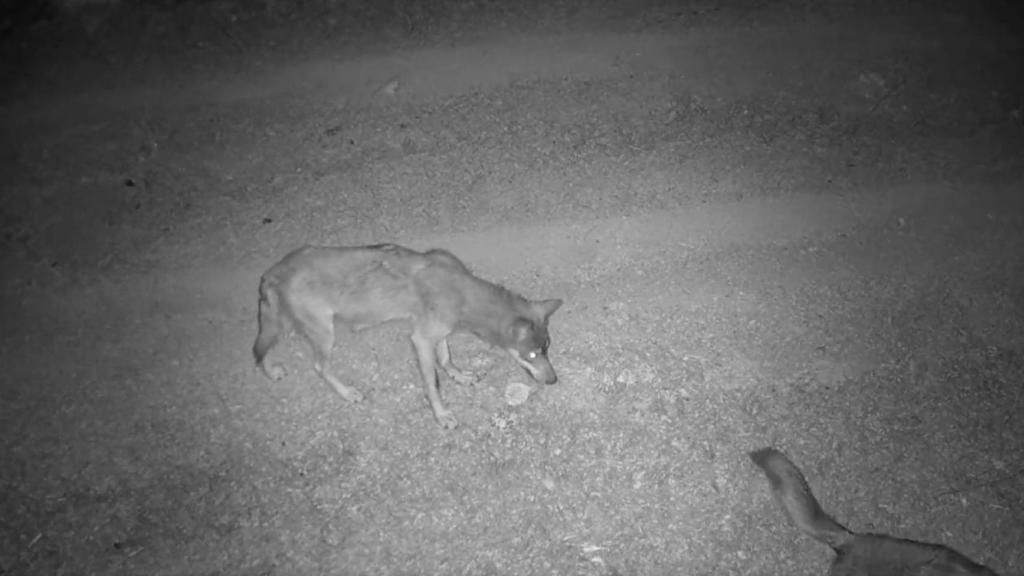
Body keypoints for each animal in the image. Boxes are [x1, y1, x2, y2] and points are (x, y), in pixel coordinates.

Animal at [252, 240, 565, 426]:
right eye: (532, 355)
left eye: (547, 348)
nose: (553, 381)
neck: (462, 290)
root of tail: (274, 270)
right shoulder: (421, 339)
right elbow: (433, 383)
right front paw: (442, 414)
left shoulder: (437, 332)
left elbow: (446, 359)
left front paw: (460, 376)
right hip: (323, 334)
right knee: (318, 367)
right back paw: (347, 393)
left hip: (283, 323)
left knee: (260, 350)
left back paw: (271, 371)